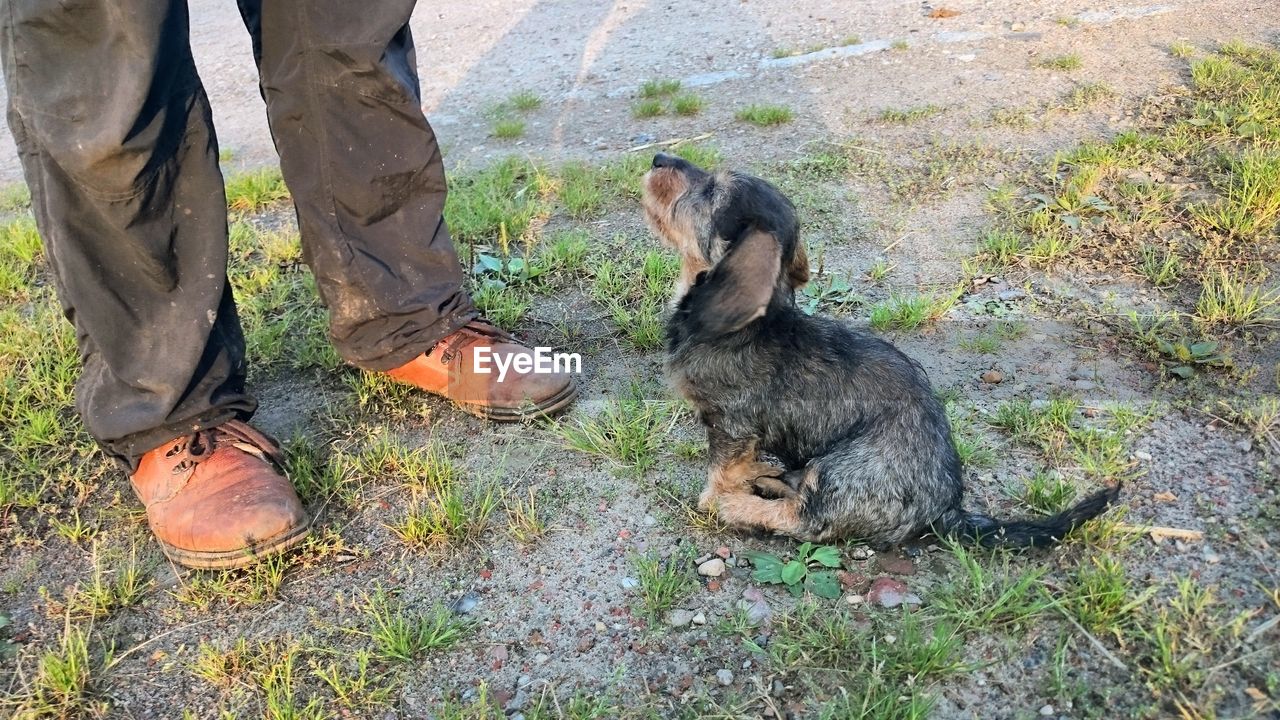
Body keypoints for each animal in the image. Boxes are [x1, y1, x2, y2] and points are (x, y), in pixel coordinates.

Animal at [645, 149, 1116, 543]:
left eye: (710, 192)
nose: (658, 157)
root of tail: (947, 510)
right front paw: (749, 476)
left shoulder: (730, 426)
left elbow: (722, 472)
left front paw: (714, 499)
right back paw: (770, 479)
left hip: (842, 467)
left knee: (806, 519)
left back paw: (741, 505)